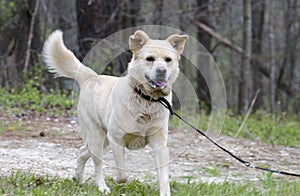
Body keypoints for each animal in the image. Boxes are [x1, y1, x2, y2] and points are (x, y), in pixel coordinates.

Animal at [42, 29, 188, 195]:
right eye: (149, 58)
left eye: (168, 60)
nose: (161, 70)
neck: (146, 100)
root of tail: (91, 77)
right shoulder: (116, 139)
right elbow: (122, 174)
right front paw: (117, 179)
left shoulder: (160, 145)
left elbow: (163, 178)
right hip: (98, 137)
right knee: (97, 165)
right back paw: (102, 187)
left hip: (103, 141)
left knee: (82, 151)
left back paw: (78, 178)